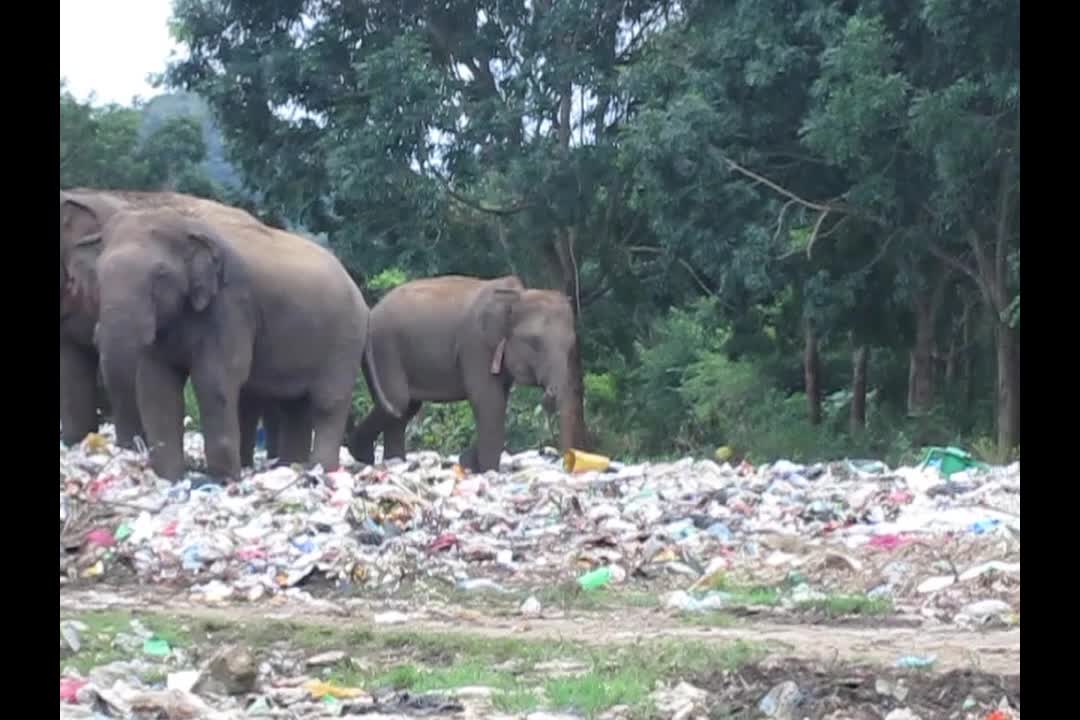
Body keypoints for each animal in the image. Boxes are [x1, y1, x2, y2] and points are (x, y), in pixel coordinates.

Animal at [345, 274, 587, 472]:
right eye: (534, 342)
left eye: (571, 346)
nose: (548, 395)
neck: (515, 296)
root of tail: (371, 310)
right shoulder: (475, 344)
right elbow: (489, 401)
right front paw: (487, 470)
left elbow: (497, 400)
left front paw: (470, 462)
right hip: (384, 348)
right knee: (398, 401)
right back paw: (362, 454)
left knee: (406, 408)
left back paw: (394, 462)